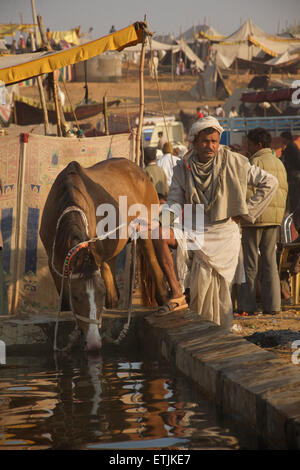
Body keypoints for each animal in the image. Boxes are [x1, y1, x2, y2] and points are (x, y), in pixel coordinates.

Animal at [39, 158, 168, 352]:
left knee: (151, 259)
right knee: (114, 291)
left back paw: (164, 299)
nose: (94, 342)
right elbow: (64, 305)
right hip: (109, 254)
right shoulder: (55, 265)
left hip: (145, 229)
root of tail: (139, 170)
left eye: (100, 294)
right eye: (76, 297)